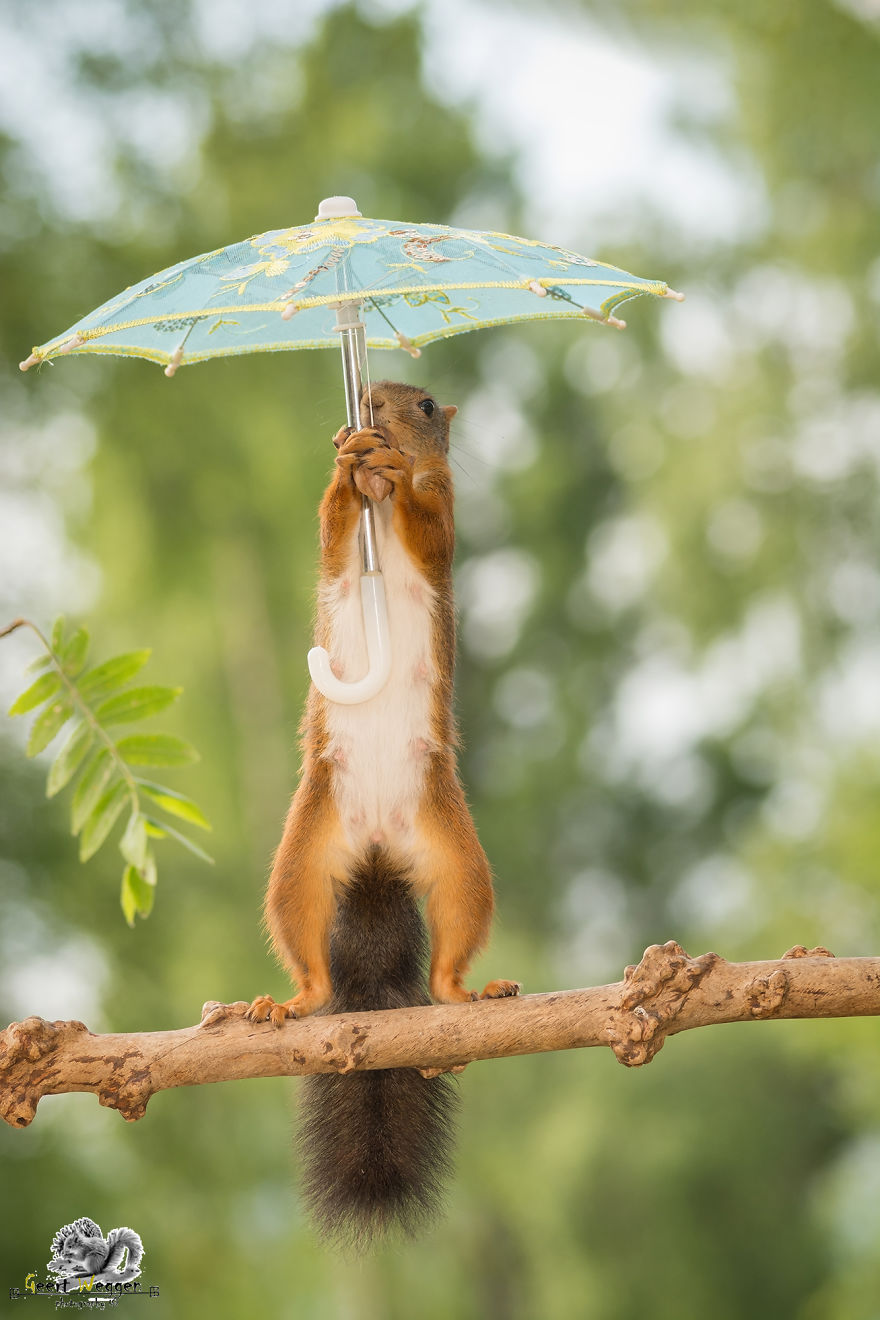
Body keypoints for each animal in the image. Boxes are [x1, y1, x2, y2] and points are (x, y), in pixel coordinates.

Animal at [245, 380, 519, 1246]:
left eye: (426, 404)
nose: (368, 403)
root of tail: (374, 851)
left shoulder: (448, 516)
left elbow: (431, 531)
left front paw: (393, 472)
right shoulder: (339, 547)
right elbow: (334, 529)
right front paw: (348, 463)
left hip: (457, 863)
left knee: (446, 961)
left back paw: (469, 995)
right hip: (303, 863)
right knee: (308, 956)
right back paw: (289, 1003)